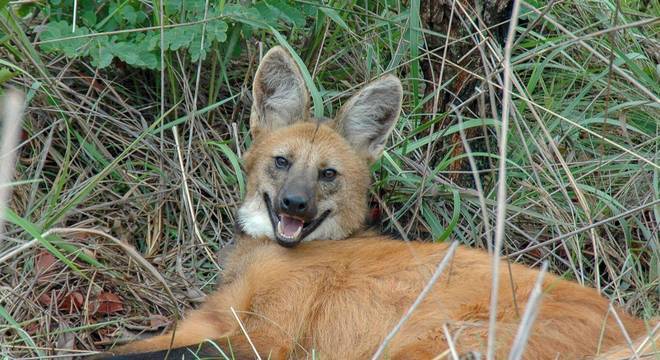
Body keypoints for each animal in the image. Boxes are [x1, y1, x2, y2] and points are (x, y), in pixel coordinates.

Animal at [104, 47, 656, 360]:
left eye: (327, 174)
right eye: (282, 162)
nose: (295, 204)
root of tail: (636, 329)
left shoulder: (263, 340)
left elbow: (124, 356)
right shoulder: (213, 320)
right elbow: (130, 346)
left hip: (423, 344)